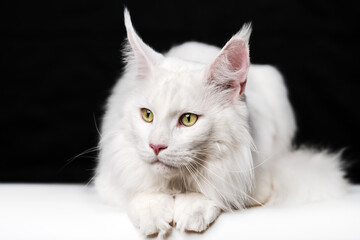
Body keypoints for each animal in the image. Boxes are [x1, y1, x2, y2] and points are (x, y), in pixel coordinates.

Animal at [94, 8, 348, 236]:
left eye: (188, 119)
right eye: (147, 115)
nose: (156, 146)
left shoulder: (256, 185)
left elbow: (214, 192)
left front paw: (191, 208)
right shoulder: (111, 178)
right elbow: (141, 189)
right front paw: (153, 214)